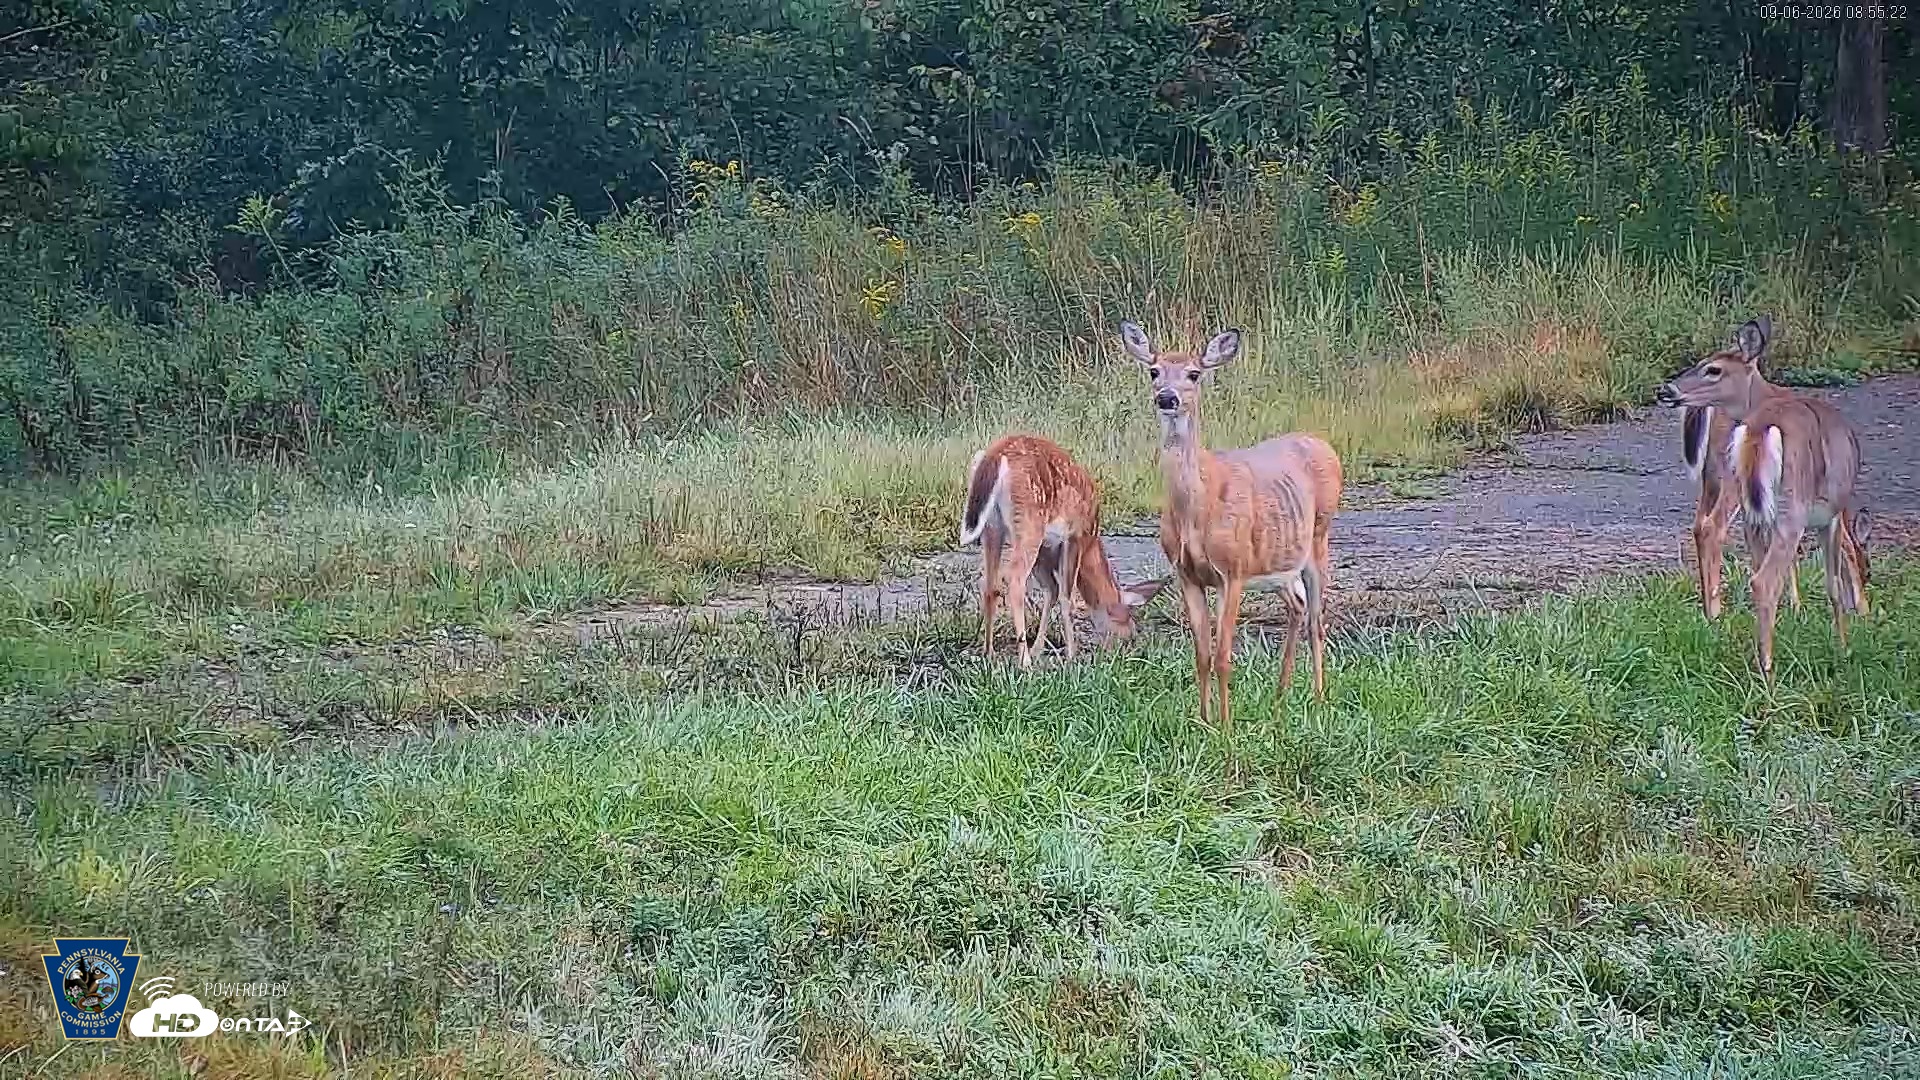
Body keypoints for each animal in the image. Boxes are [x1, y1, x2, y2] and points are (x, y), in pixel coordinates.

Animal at [958, 433, 1166, 668]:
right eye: (1130, 627)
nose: (1124, 651)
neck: (1092, 544)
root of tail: (997, 454)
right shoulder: (1074, 536)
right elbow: (1067, 596)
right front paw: (1071, 654)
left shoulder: (1046, 550)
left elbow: (1052, 590)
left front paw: (1038, 649)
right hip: (1029, 523)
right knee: (1015, 581)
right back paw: (1024, 661)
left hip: (992, 528)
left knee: (989, 584)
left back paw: (989, 653)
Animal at [1120, 321, 1343, 736]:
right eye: (1154, 371)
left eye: (1194, 373)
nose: (1167, 398)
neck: (1198, 507)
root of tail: (1325, 445)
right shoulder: (1187, 574)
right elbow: (1202, 654)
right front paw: (1203, 721)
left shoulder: (1232, 571)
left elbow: (1224, 654)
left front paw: (1225, 727)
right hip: (1276, 562)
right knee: (1298, 606)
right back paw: (1280, 695)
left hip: (1319, 536)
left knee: (1317, 619)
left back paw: (1319, 698)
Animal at [1675, 317, 1802, 620]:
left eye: (1712, 368)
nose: (1669, 389)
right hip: (1733, 474)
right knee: (1712, 525)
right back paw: (1715, 612)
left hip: (1712, 473)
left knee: (1700, 524)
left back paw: (1709, 606)